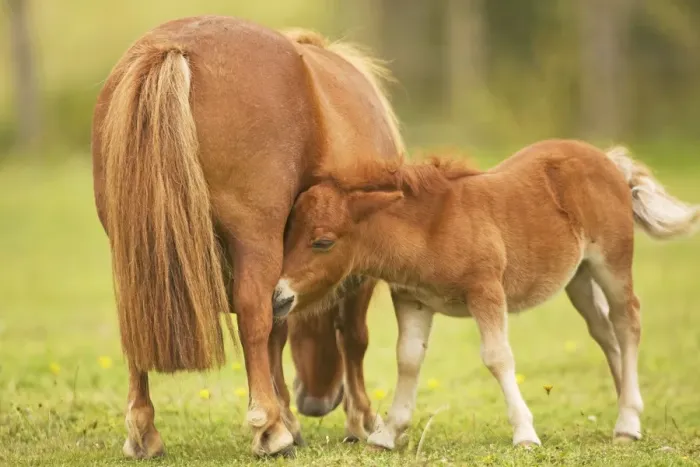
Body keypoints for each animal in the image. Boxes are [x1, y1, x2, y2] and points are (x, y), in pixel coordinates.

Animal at [91, 15, 404, 458]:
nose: (315, 401)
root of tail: (171, 48)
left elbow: (280, 334)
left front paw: (290, 416)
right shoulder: (352, 272)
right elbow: (351, 337)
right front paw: (357, 420)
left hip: (133, 254)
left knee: (137, 325)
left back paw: (143, 433)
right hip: (255, 242)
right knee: (256, 315)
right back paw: (270, 431)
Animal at [272, 139, 700, 450]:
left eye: (323, 242)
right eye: (287, 233)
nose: (279, 298)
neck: (431, 226)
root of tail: (609, 161)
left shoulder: (486, 291)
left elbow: (497, 357)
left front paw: (525, 434)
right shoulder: (412, 299)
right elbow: (408, 360)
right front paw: (388, 434)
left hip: (611, 263)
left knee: (628, 321)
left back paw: (627, 420)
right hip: (577, 278)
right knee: (605, 332)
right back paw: (627, 411)